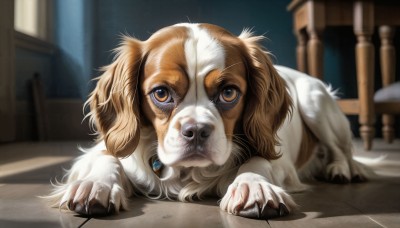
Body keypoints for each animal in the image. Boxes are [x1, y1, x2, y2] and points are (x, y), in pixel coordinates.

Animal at [46, 23, 366, 219]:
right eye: (161, 93)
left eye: (228, 92)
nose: (196, 131)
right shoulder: (102, 147)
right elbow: (107, 157)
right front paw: (94, 185)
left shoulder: (280, 158)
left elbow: (259, 161)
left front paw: (254, 186)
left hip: (315, 100)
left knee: (343, 151)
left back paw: (340, 169)